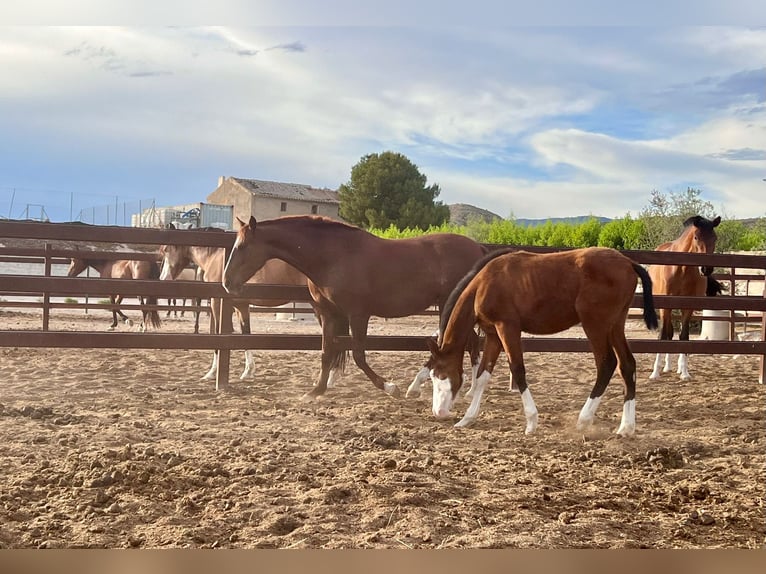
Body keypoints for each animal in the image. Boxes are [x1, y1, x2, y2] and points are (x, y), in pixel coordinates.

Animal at [220, 215, 486, 400]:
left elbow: (358, 354)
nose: (227, 282)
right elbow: (326, 352)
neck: (333, 256)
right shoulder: (328, 313)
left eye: (242, 247)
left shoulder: (357, 314)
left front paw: (390, 387)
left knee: (468, 344)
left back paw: (463, 390)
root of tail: (479, 249)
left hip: (450, 305)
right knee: (469, 343)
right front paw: (315, 392)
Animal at [426, 245, 660, 438]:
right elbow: (484, 374)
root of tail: (628, 262)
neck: (484, 284)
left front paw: (531, 422)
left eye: (441, 375)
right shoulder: (494, 335)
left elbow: (517, 369)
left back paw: (584, 420)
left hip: (596, 325)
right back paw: (626, 428)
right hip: (615, 325)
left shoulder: (507, 328)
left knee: (607, 364)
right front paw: (467, 418)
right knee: (627, 365)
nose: (439, 412)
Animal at [652, 216, 724, 382]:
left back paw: (676, 367)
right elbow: (662, 335)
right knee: (668, 334)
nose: (706, 269)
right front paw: (655, 373)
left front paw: (685, 372)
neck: (681, 268)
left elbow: (684, 336)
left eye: (715, 238)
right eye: (696, 237)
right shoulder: (665, 306)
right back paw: (666, 367)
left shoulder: (688, 306)